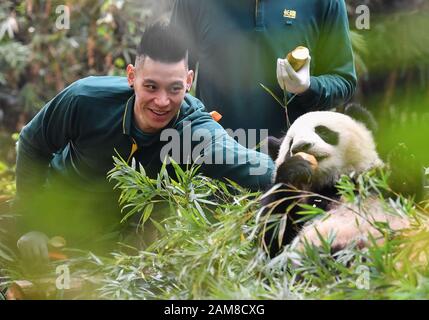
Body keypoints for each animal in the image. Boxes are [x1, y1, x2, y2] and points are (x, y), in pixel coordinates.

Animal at [260, 105, 422, 258]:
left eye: (322, 131)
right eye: (291, 143)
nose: (301, 146)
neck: (335, 182)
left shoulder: (372, 182)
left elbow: (412, 198)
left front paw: (402, 160)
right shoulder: (306, 203)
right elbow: (273, 240)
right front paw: (295, 168)